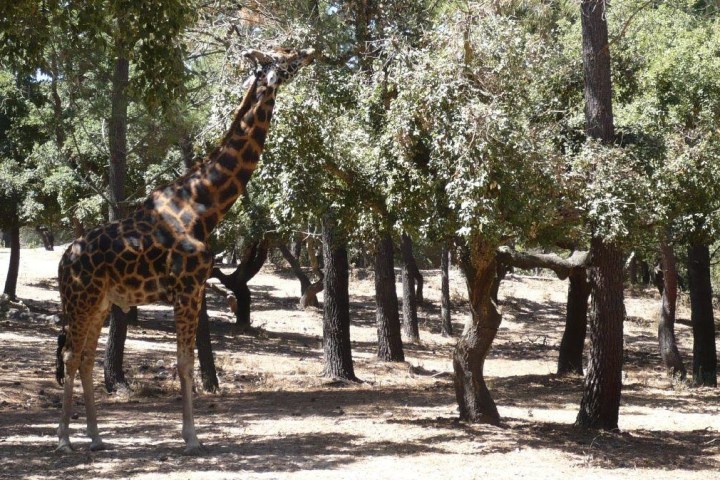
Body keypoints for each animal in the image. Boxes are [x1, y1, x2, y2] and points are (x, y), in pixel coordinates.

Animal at [54, 47, 314, 456]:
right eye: (284, 56)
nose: (310, 52)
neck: (205, 205)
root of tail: (63, 263)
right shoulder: (188, 288)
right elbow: (185, 363)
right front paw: (192, 437)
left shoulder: (194, 289)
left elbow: (186, 361)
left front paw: (190, 433)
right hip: (80, 300)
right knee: (69, 354)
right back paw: (64, 440)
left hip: (99, 303)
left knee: (84, 358)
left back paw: (96, 438)